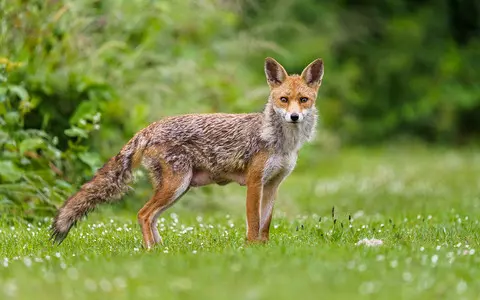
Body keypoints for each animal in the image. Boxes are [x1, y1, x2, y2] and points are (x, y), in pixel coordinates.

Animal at [51, 56, 322, 248]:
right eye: (284, 99)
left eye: (304, 100)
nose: (294, 117)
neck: (281, 142)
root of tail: (149, 127)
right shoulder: (255, 182)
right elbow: (254, 223)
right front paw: (252, 248)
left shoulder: (273, 184)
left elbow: (265, 223)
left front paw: (264, 248)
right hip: (176, 185)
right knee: (143, 214)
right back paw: (151, 250)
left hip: (179, 188)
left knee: (151, 216)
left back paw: (160, 248)